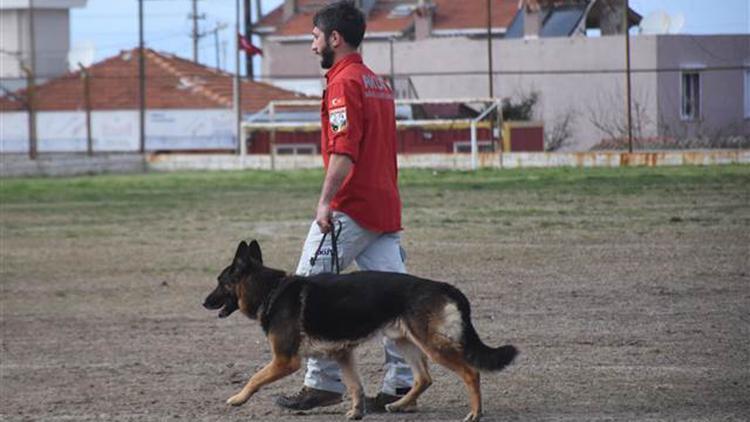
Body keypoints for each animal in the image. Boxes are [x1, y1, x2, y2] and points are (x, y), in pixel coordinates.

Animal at [203, 241, 520, 422]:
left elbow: (255, 378)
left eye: (220, 281)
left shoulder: (284, 360)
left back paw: (475, 413)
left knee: (470, 372)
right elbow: (355, 386)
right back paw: (399, 404)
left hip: (433, 346)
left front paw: (238, 398)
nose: (203, 302)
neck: (270, 291)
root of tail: (445, 286)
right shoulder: (342, 354)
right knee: (424, 378)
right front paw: (357, 412)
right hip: (405, 342)